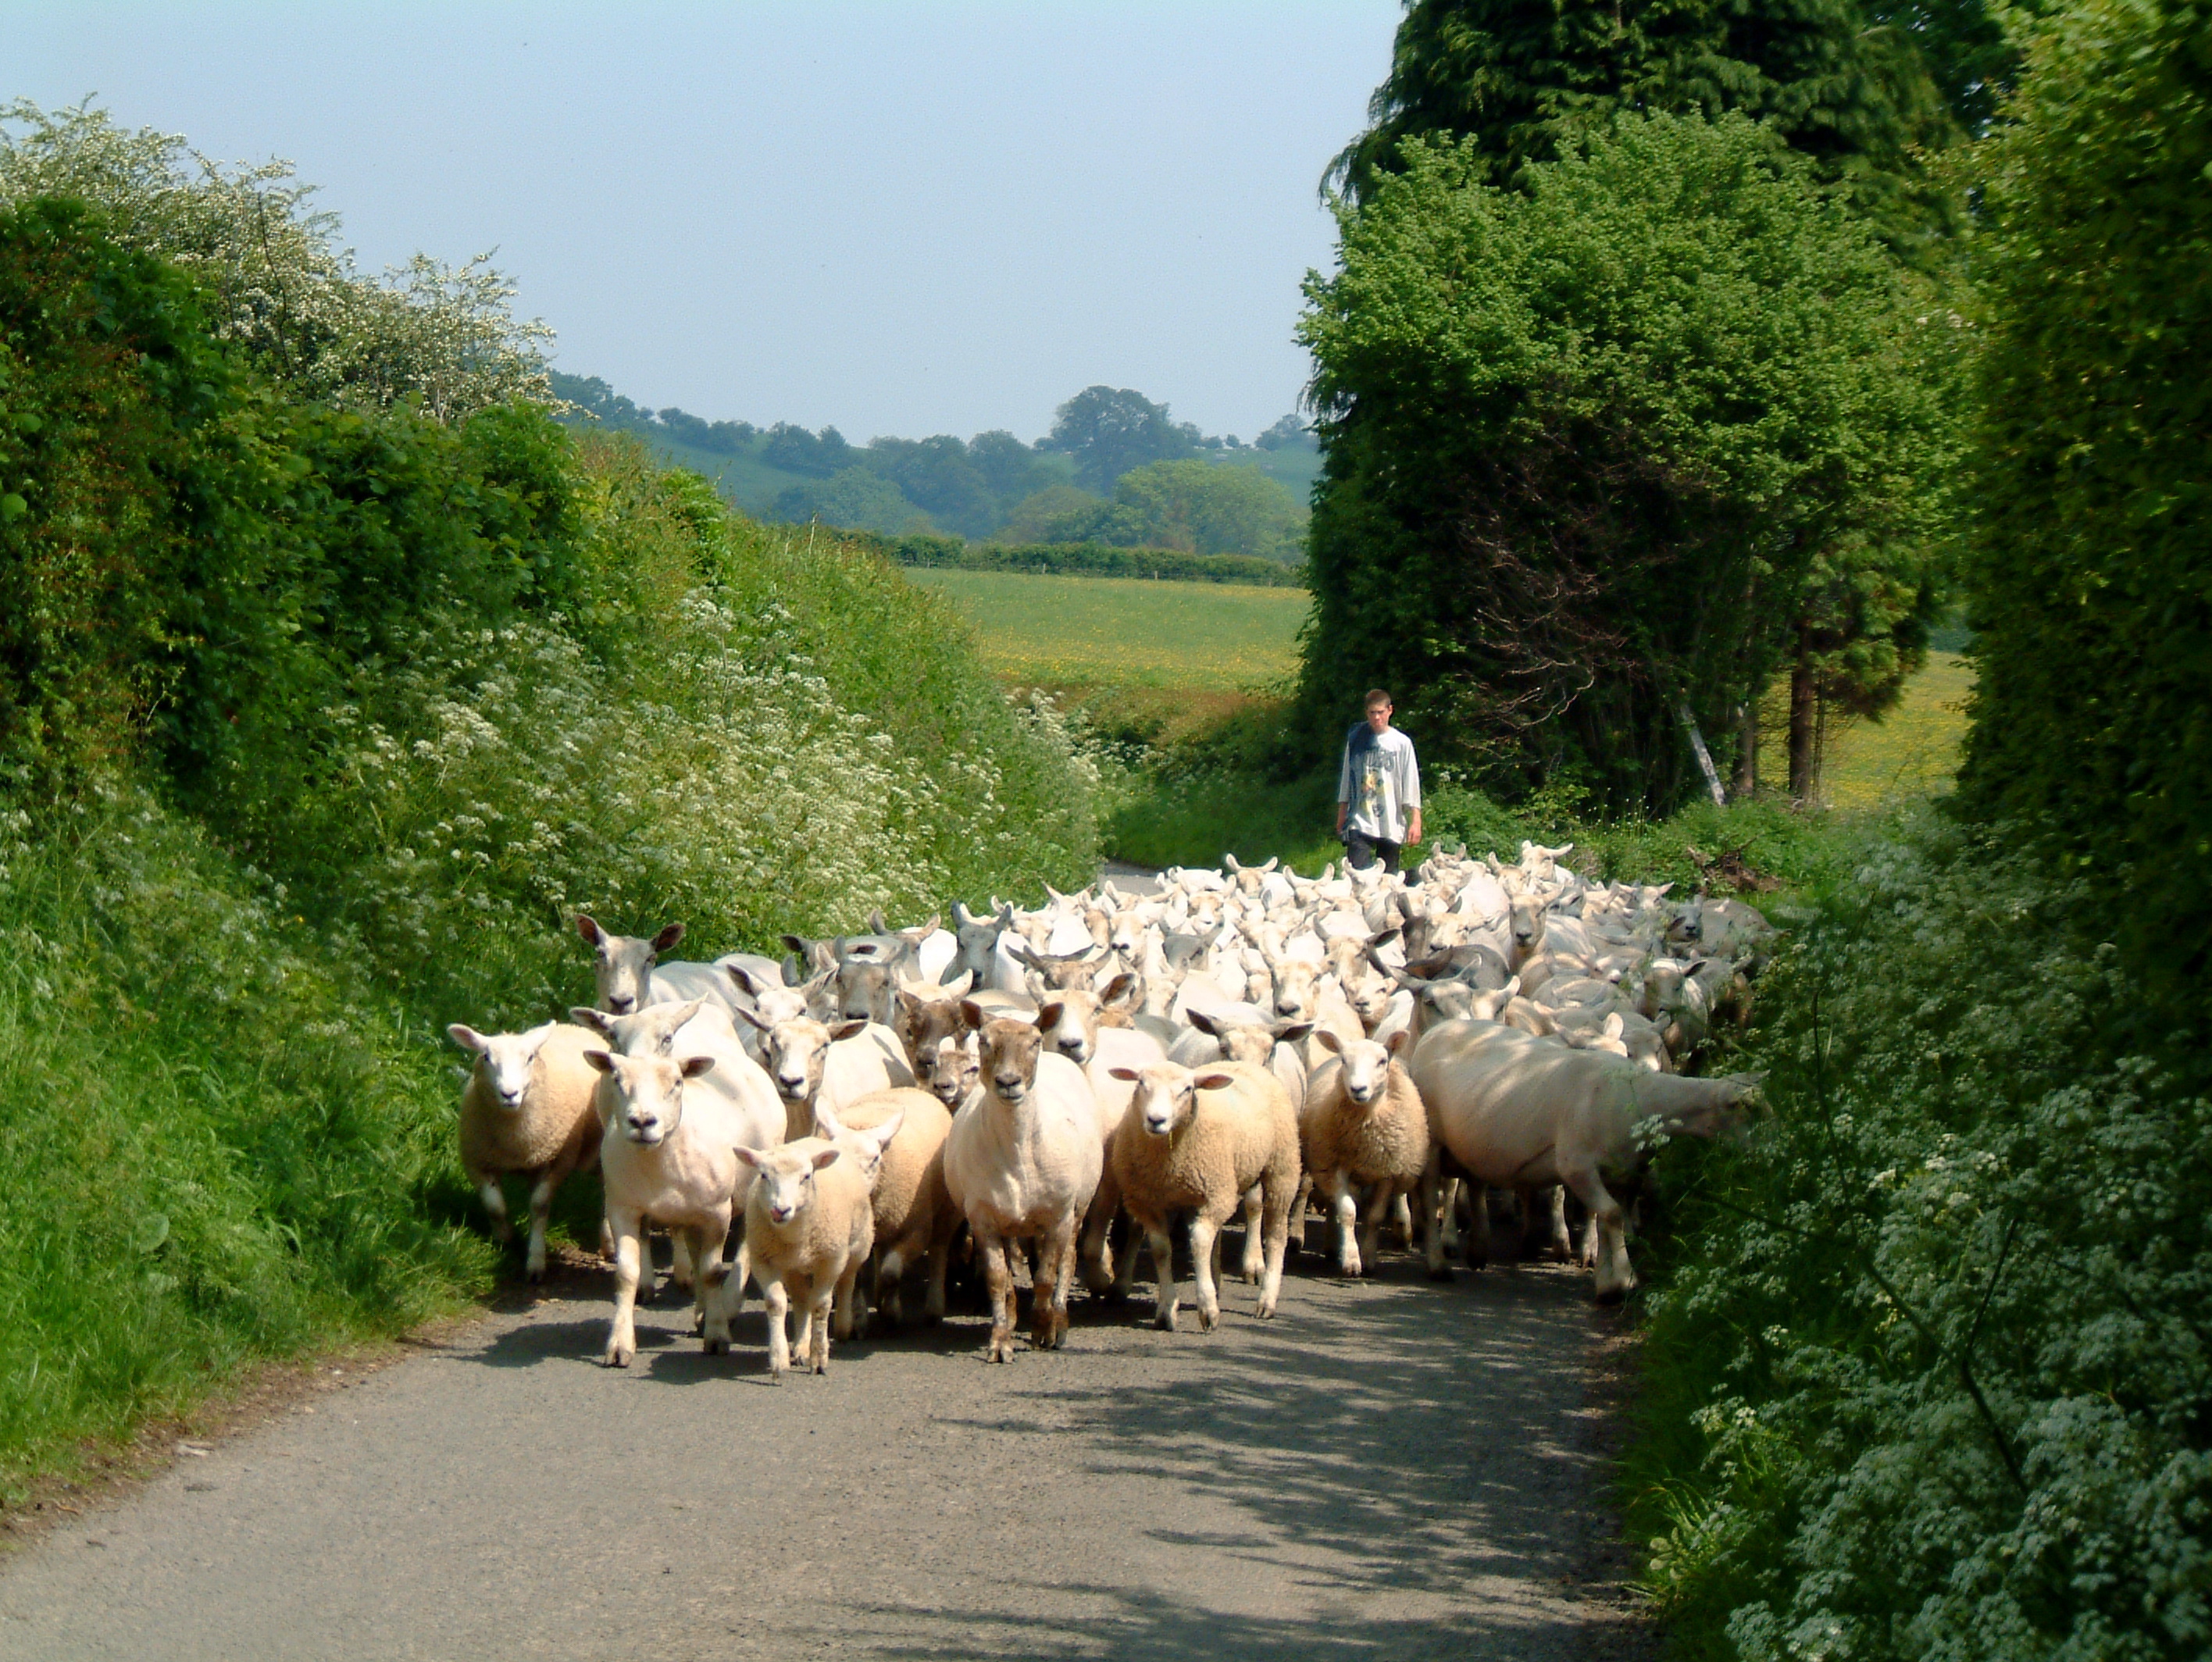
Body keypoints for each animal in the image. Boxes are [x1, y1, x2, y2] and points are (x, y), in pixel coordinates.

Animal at [447, 1021, 604, 1282]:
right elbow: (495, 1206)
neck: (514, 1141)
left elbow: (539, 1206)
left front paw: (535, 1263)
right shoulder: (476, 1161)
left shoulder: (558, 1162)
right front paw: (505, 1239)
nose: (509, 1094)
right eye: (486, 1057)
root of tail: (572, 1026)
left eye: (530, 1058)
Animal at [941, 1004, 1102, 1362]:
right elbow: (998, 1280)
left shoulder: (1059, 1215)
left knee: (1068, 1261)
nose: (1008, 1082)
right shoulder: (983, 1219)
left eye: (1035, 1042)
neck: (1019, 1153)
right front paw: (1001, 1341)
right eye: (984, 1041)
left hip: (1079, 1205)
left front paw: (1044, 1330)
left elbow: (1045, 1276)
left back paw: (1060, 1320)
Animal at [1103, 1059, 1301, 1331]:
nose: (1156, 1120)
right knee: (1215, 1237)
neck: (1168, 1161)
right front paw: (1167, 1309)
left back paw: (1266, 1300)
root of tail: (1240, 1063)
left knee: (1275, 1236)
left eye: (1187, 1089)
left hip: (1282, 1169)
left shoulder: (1215, 1195)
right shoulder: (1148, 1202)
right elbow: (1161, 1250)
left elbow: (1198, 1242)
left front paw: (1207, 1309)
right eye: (1141, 1083)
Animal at [1297, 1029, 1430, 1278]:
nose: (1358, 1089)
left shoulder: (1387, 1172)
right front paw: (1351, 1261)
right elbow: (1348, 1212)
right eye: (1344, 1060)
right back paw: (1333, 1247)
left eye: (1382, 1061)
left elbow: (1375, 1217)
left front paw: (1368, 1259)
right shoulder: (1336, 1167)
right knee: (1333, 1204)